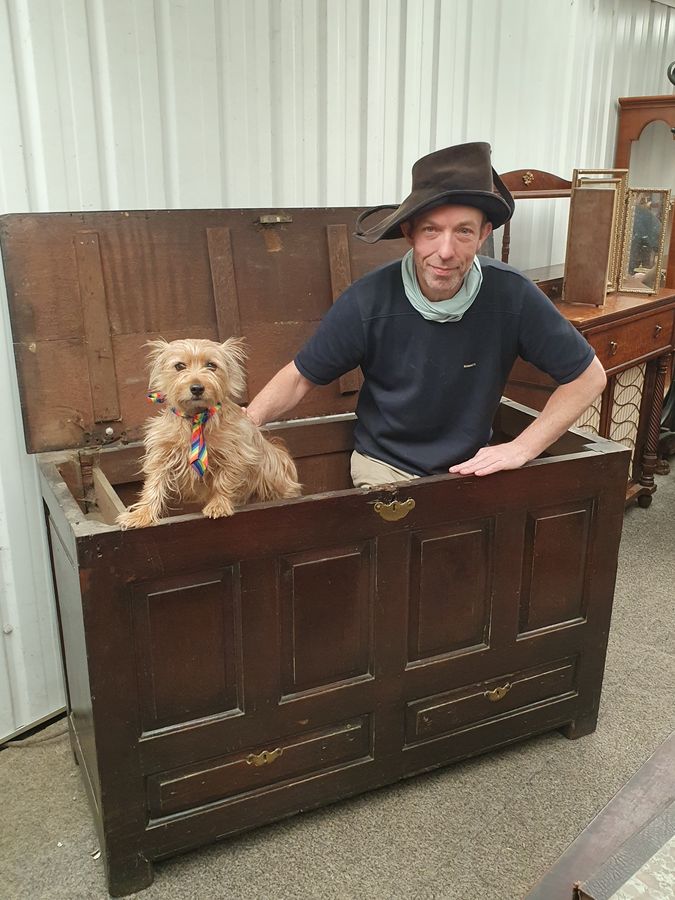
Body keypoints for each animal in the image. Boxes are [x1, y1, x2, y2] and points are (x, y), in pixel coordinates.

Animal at [117, 342, 302, 532]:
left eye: (211, 365)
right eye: (179, 366)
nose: (197, 388)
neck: (196, 417)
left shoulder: (236, 454)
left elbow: (224, 480)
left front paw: (218, 505)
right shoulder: (162, 454)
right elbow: (153, 484)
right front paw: (141, 514)